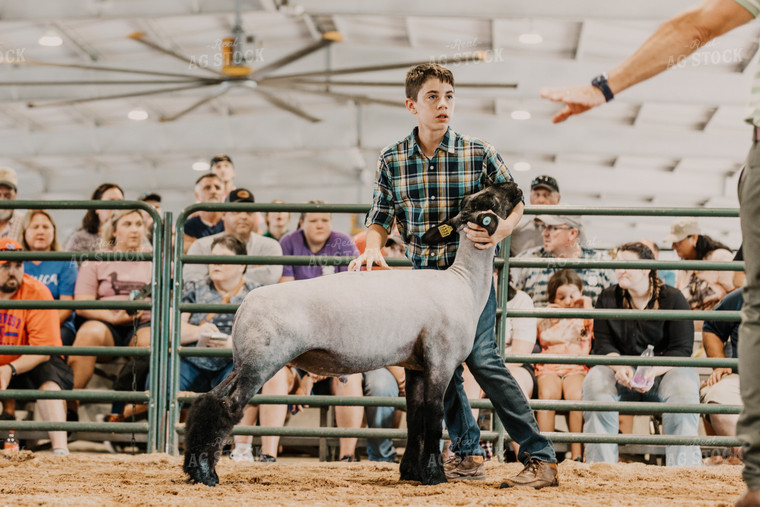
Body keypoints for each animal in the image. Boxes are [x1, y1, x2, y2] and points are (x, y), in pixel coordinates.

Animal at [184, 182, 524, 488]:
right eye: (490, 199)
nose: (515, 186)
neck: (463, 283)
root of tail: (245, 305)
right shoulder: (441, 363)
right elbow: (432, 418)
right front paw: (434, 476)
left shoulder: (415, 365)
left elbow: (414, 418)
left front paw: (411, 473)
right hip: (262, 361)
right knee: (227, 406)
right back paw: (208, 475)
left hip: (244, 361)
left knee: (207, 401)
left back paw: (193, 469)